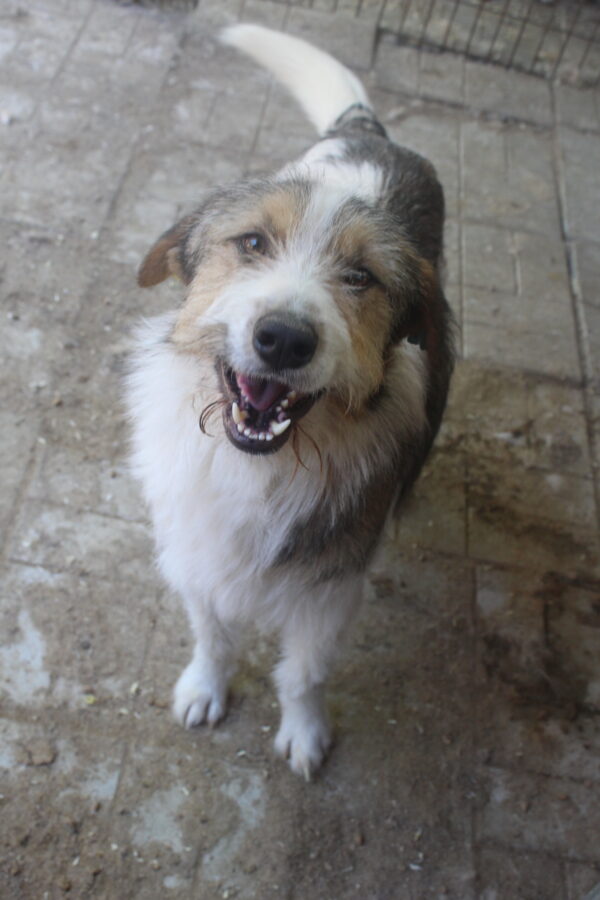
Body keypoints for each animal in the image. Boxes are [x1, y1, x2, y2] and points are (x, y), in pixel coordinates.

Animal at [126, 24, 454, 776]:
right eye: (251, 241)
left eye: (361, 277)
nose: (282, 339)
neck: (264, 466)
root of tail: (367, 134)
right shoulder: (197, 553)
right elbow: (212, 633)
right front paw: (205, 687)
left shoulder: (330, 589)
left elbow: (304, 673)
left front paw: (305, 733)